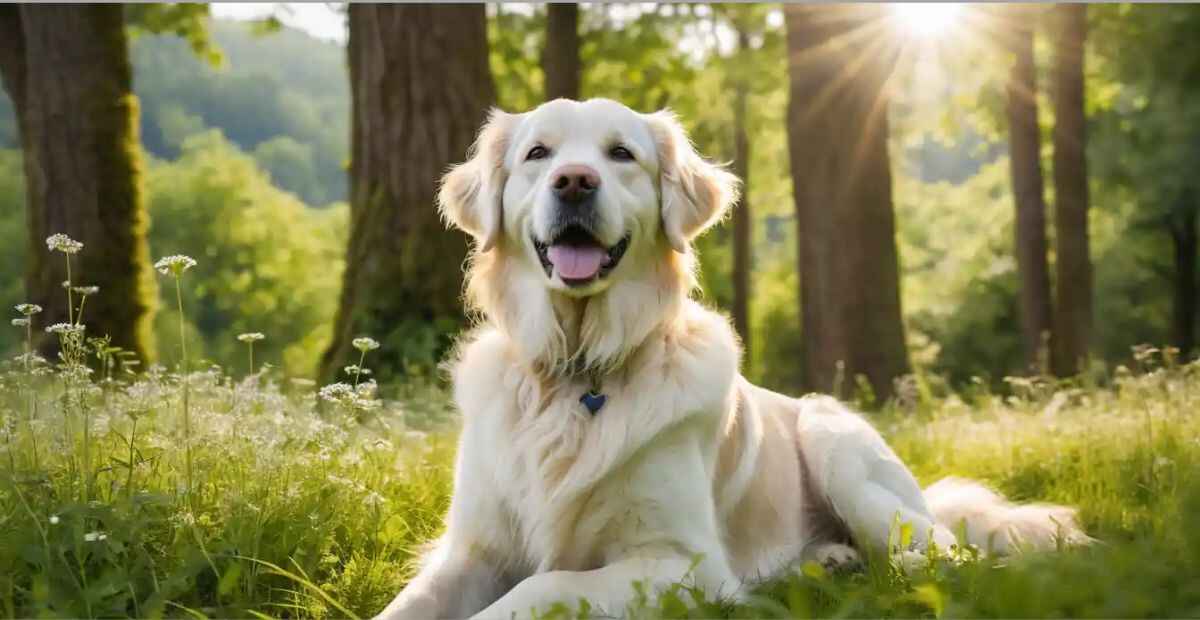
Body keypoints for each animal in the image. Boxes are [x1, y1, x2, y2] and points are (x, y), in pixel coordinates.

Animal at [374, 98, 1089, 614]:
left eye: (621, 154)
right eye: (537, 154)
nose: (574, 182)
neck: (577, 369)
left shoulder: (683, 563)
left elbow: (540, 587)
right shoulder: (471, 549)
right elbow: (407, 606)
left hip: (836, 439)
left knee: (943, 555)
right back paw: (826, 562)